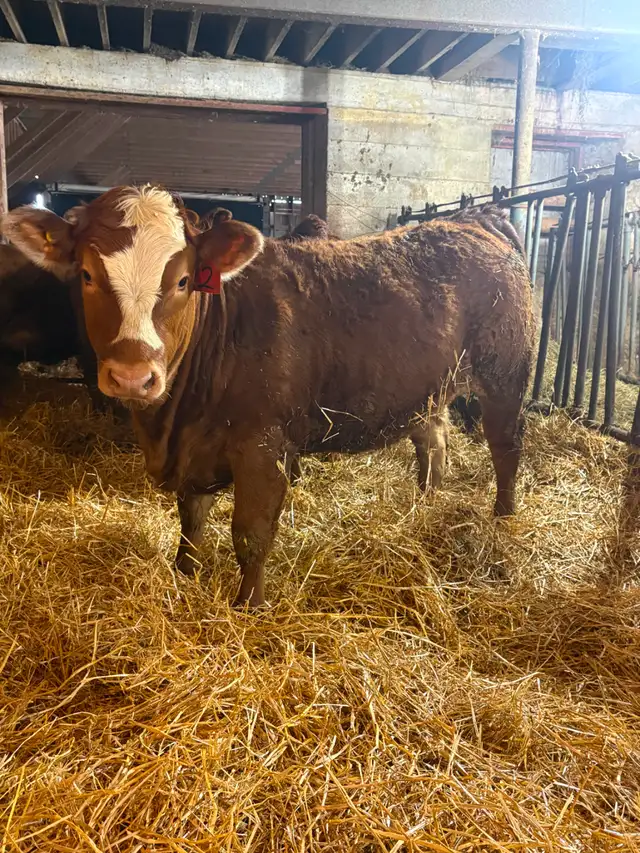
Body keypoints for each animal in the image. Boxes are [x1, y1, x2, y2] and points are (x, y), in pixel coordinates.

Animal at [3, 188, 535, 608]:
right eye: (87, 276)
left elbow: (251, 534)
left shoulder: (263, 449)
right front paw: (183, 577)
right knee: (433, 442)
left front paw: (249, 606)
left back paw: (503, 518)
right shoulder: (195, 449)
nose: (133, 377)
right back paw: (424, 503)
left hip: (506, 373)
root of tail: (474, 221)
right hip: (429, 389)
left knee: (506, 448)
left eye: (183, 280)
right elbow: (191, 522)